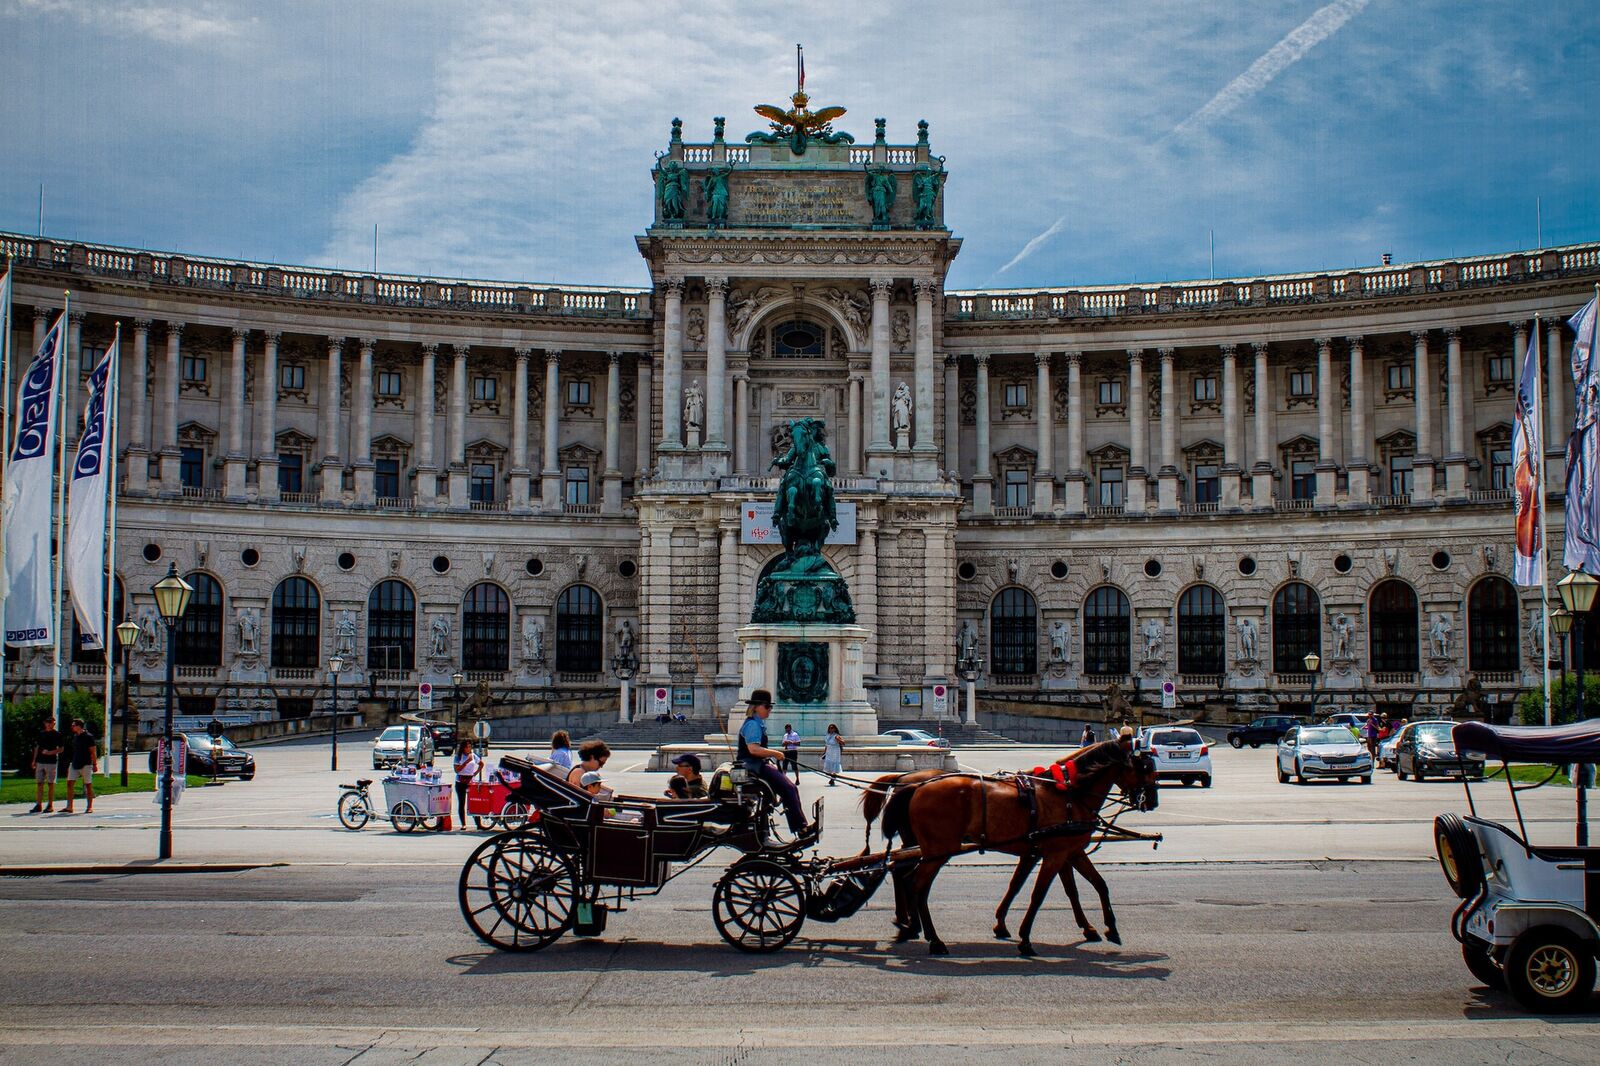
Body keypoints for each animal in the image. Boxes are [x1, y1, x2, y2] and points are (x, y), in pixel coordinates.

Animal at [883, 739, 1158, 953]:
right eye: (1145, 767)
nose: (1152, 801)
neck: (1067, 793)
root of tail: (914, 785)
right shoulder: (1056, 853)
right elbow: (1039, 893)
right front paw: (1025, 939)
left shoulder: (1061, 851)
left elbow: (1087, 886)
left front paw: (1105, 929)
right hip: (938, 849)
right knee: (916, 884)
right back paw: (930, 938)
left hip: (929, 849)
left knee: (906, 877)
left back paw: (912, 927)